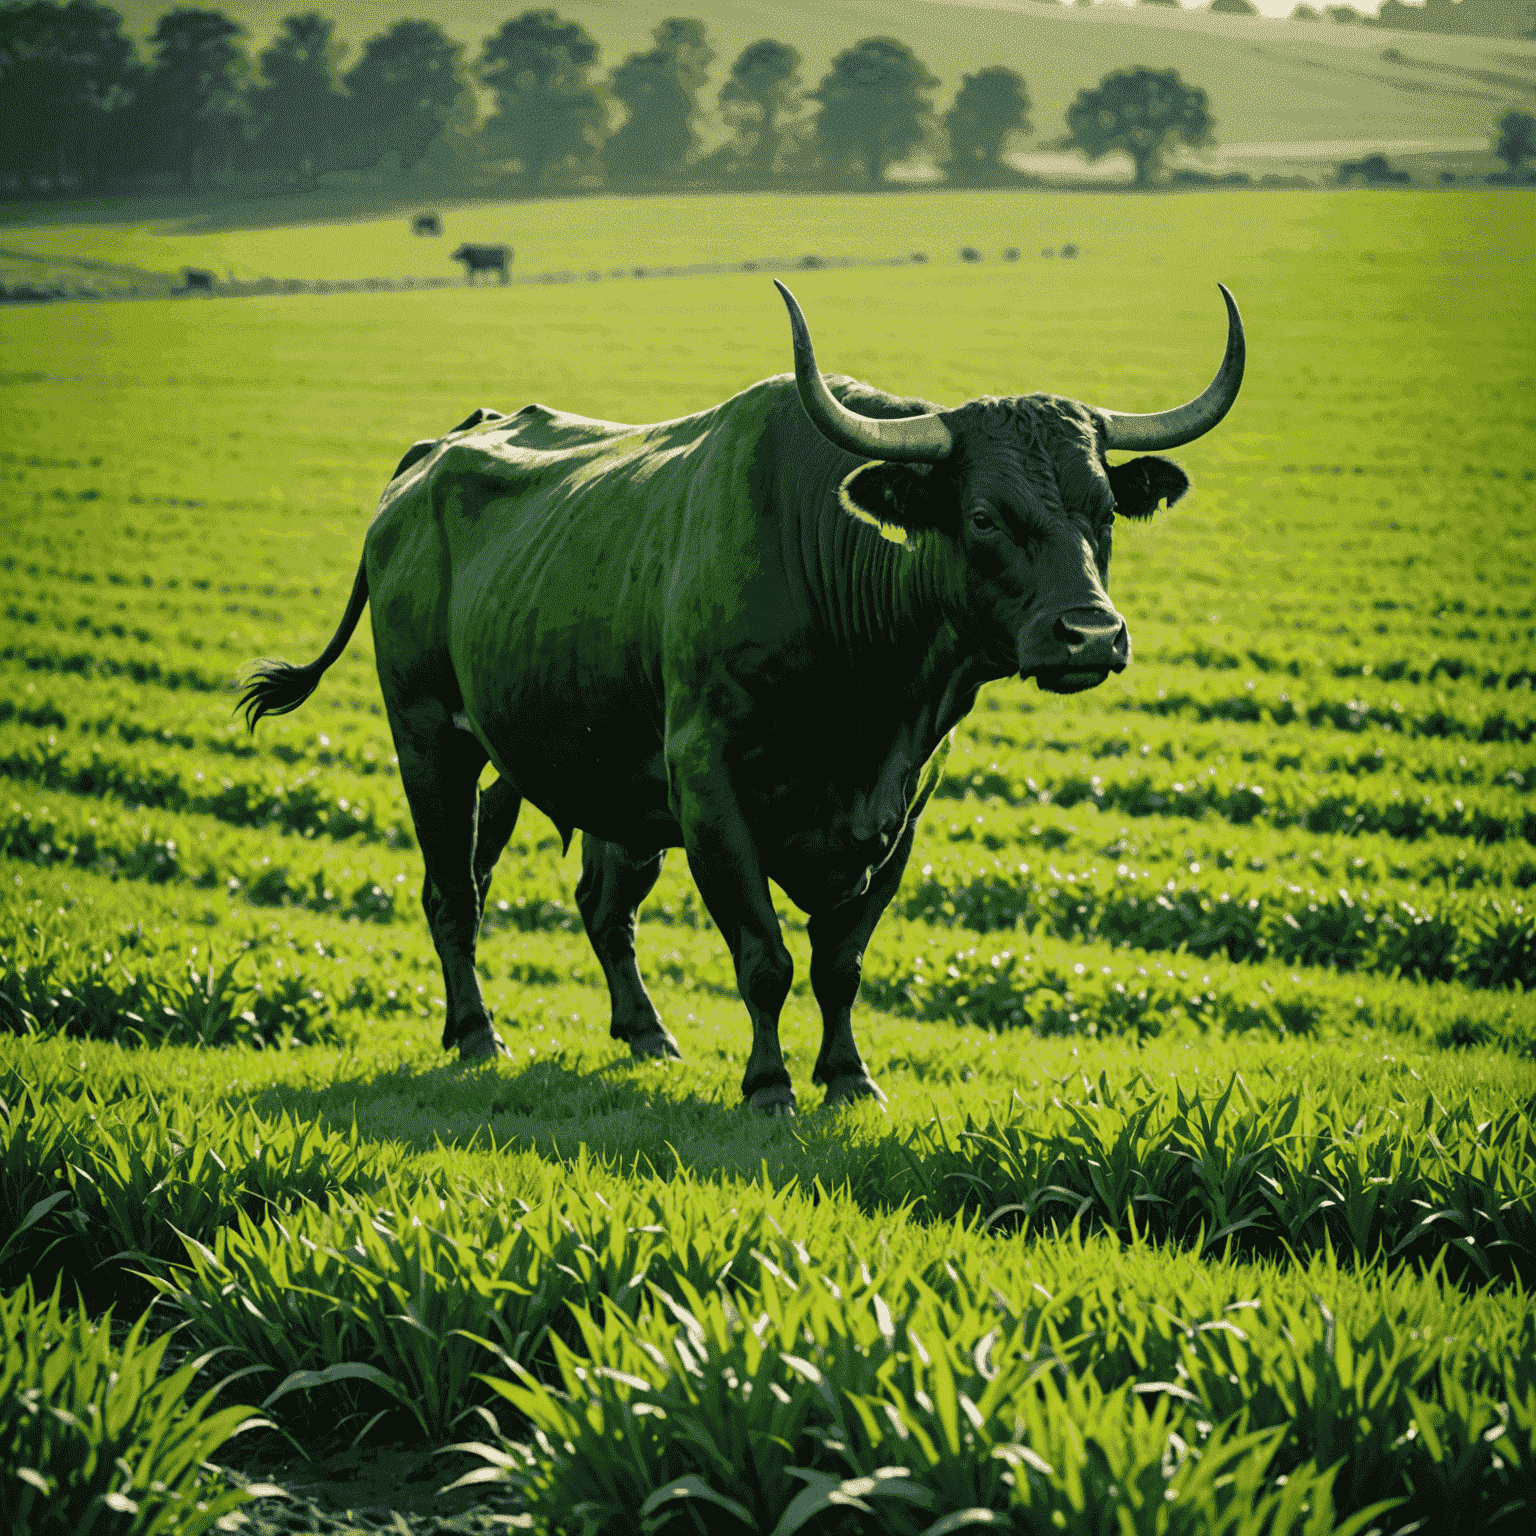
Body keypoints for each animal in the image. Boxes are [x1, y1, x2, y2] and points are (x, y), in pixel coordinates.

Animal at [242, 282, 1247, 1112]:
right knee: (451, 888)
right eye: (984, 515)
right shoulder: (708, 787)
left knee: (592, 902)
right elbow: (765, 955)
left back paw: (643, 1032)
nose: (1091, 635)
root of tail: (437, 451)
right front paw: (769, 1085)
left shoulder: (901, 810)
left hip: (569, 764)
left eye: (1104, 512)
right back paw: (475, 1032)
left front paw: (847, 1078)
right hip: (429, 739)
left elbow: (839, 963)